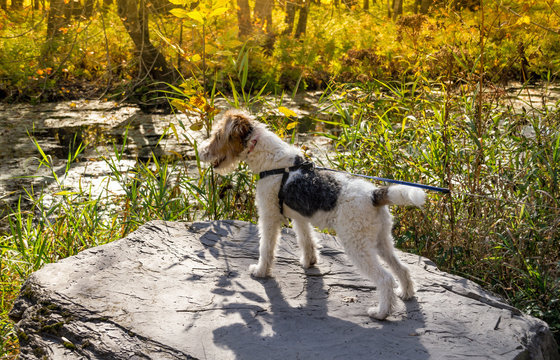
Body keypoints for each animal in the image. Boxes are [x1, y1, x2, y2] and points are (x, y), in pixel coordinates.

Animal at [200, 108, 424, 320]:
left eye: (217, 135)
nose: (201, 152)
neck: (272, 162)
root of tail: (374, 194)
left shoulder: (268, 216)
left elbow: (266, 248)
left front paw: (261, 271)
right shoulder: (300, 217)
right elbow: (307, 241)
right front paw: (310, 262)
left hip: (357, 245)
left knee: (385, 278)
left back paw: (381, 313)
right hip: (381, 240)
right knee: (402, 269)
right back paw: (406, 293)